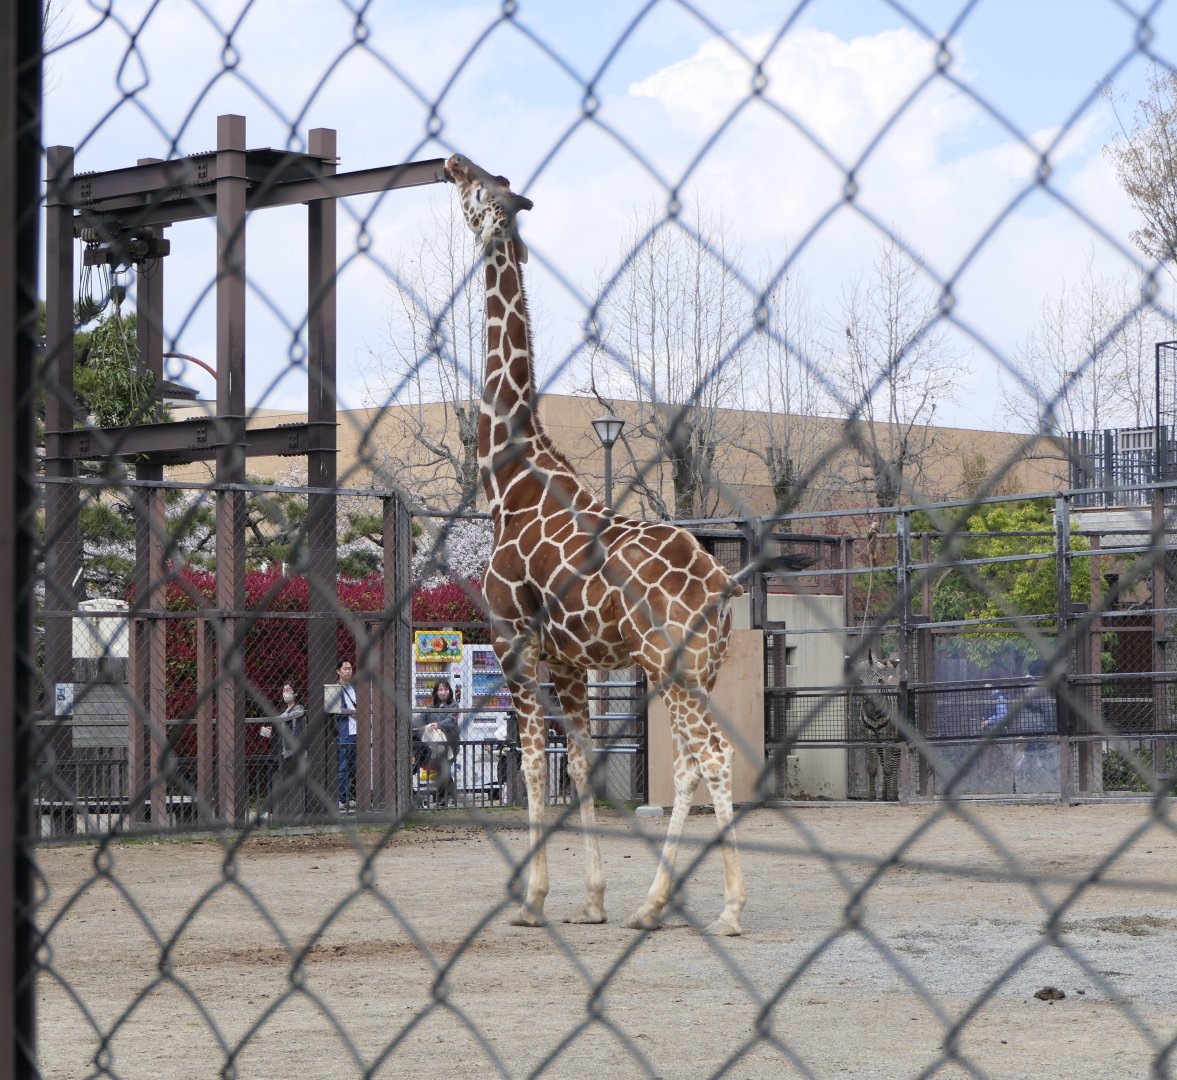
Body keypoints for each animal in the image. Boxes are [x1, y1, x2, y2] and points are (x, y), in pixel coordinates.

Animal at [443, 154, 809, 935]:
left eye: (480, 188)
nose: (450, 162)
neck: (511, 478)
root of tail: (723, 585)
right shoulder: (571, 660)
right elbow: (580, 763)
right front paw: (592, 899)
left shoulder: (513, 639)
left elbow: (529, 764)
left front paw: (533, 900)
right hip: (694, 668)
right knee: (692, 763)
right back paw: (652, 903)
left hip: (671, 666)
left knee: (710, 757)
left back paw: (728, 909)